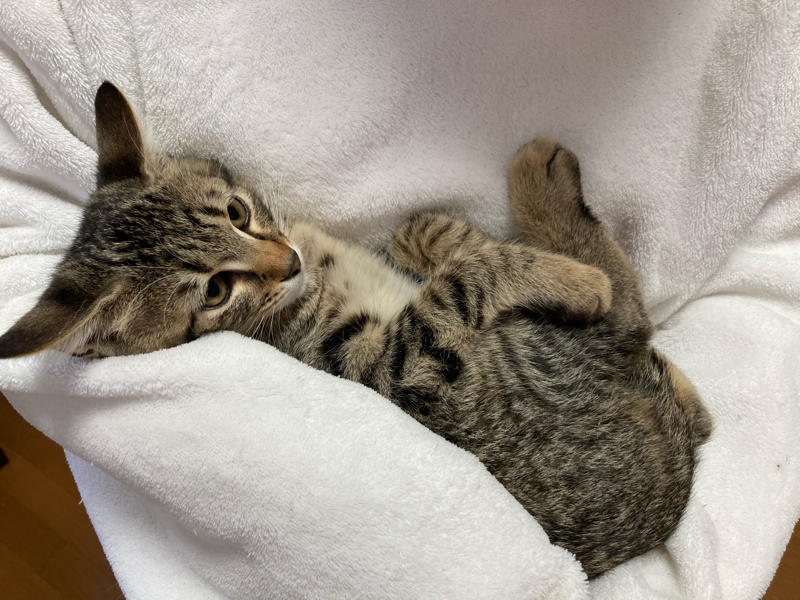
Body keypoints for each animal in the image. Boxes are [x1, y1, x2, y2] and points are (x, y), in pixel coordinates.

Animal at [0, 82, 711, 577]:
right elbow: (471, 272)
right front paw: (566, 277)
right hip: (536, 351)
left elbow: (422, 232)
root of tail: (670, 496)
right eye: (215, 291)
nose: (287, 262)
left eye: (237, 212)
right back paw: (551, 195)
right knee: (630, 312)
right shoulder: (390, 363)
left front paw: (443, 236)